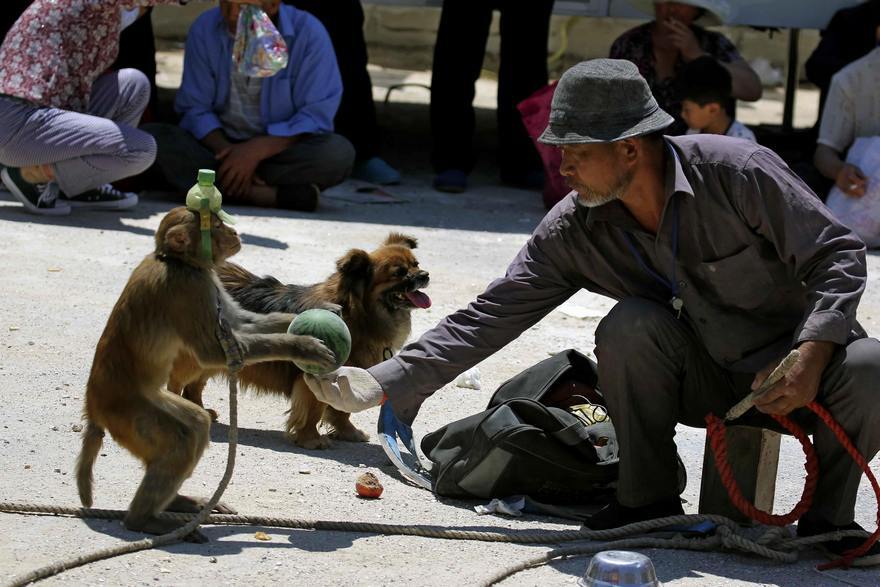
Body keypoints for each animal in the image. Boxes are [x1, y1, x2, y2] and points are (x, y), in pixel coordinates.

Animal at [75, 208, 334, 544]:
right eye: (218, 225)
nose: (235, 234)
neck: (179, 262)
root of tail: (93, 404)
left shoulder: (207, 282)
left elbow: (242, 323)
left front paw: (309, 316)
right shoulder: (189, 289)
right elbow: (217, 352)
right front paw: (302, 346)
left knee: (195, 425)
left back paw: (174, 502)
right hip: (128, 413)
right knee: (186, 434)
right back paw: (144, 520)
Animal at [168, 234, 430, 450]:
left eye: (416, 264)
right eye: (399, 272)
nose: (424, 275)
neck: (356, 312)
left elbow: (341, 410)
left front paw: (348, 432)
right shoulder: (311, 380)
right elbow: (313, 411)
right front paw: (311, 439)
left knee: (194, 385)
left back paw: (200, 411)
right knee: (177, 383)